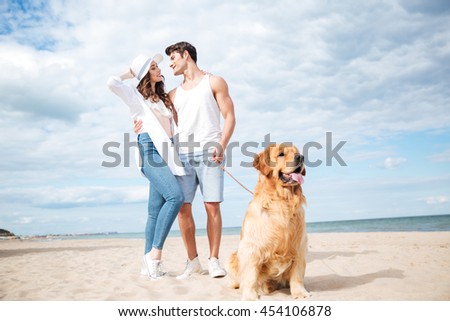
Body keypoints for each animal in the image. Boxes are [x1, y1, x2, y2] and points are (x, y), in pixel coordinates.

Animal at [229, 143, 310, 300]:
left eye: (297, 152)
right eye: (281, 154)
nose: (301, 157)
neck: (282, 201)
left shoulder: (299, 245)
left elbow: (297, 274)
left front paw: (299, 293)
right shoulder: (251, 247)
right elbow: (250, 275)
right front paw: (250, 296)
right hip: (233, 257)